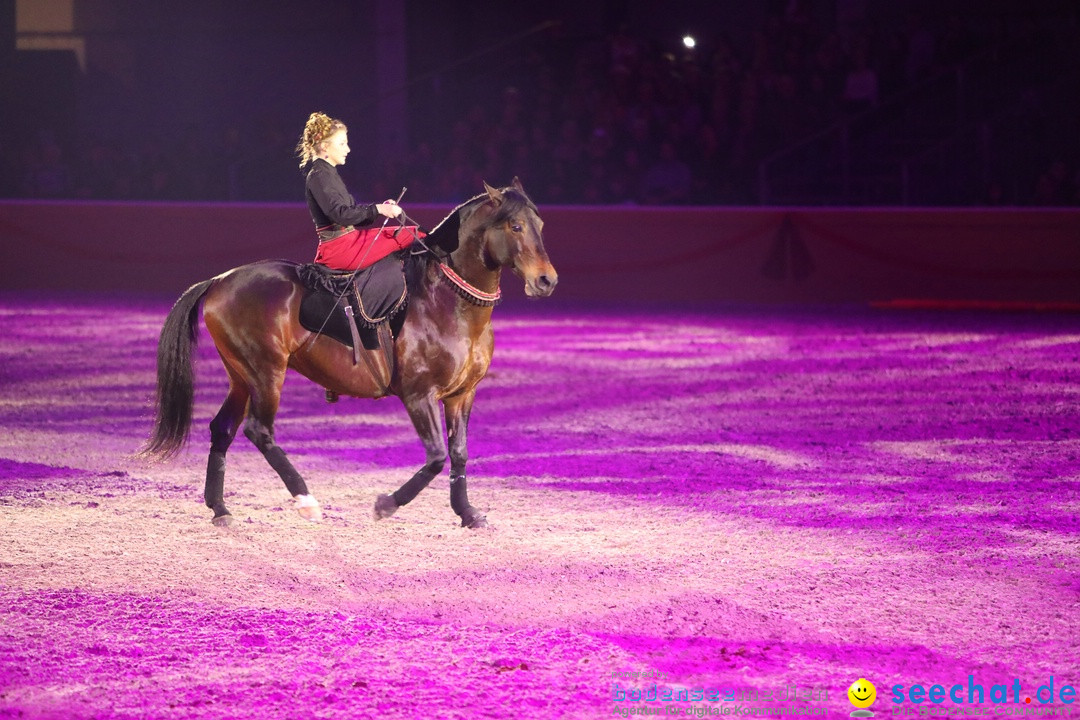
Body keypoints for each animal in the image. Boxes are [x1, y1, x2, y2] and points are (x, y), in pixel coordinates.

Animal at [142, 180, 557, 528]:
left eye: (539, 223)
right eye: (515, 226)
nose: (546, 280)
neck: (445, 300)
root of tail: (219, 280)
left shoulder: (461, 395)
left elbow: (458, 453)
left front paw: (467, 513)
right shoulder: (419, 394)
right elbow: (438, 456)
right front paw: (386, 504)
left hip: (241, 376)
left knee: (222, 429)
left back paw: (220, 509)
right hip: (265, 373)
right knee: (259, 430)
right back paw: (305, 500)